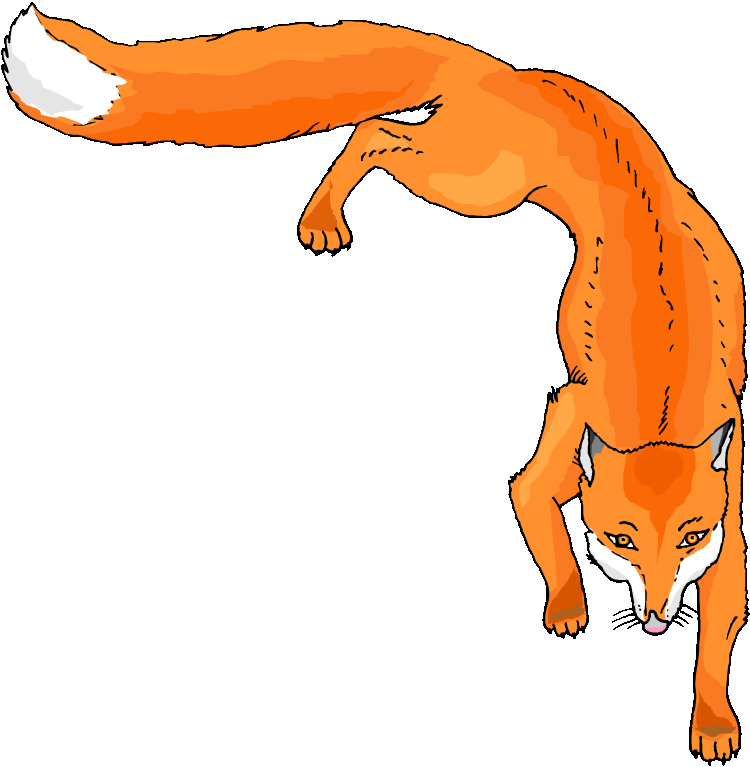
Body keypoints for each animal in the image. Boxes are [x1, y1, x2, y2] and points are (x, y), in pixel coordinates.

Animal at [3, 4, 747, 763]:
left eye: (690, 537)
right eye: (621, 540)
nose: (655, 616)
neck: (661, 405)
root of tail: (504, 68)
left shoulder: (730, 507)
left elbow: (717, 635)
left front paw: (714, 724)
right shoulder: (560, 430)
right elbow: (537, 509)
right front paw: (567, 605)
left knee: (379, 132)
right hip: (476, 188)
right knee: (376, 135)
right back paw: (322, 217)